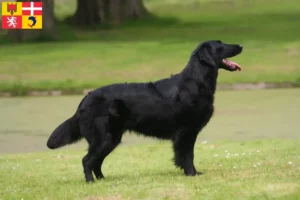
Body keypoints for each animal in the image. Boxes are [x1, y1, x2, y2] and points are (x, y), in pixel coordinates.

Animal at [47, 39, 244, 182]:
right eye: (221, 45)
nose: (241, 45)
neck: (195, 82)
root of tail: (85, 99)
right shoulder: (186, 132)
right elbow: (187, 156)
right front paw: (192, 174)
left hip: (112, 139)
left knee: (96, 162)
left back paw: (103, 180)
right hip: (104, 138)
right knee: (87, 161)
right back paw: (91, 182)